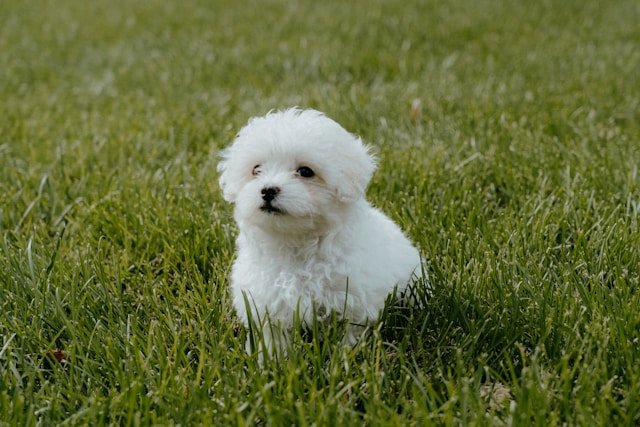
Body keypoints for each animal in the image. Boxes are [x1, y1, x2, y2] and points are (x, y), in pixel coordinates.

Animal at [219, 108, 424, 354]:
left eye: (305, 171)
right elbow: (273, 336)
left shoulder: (353, 300)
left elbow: (351, 333)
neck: (296, 244)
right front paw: (271, 357)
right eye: (256, 170)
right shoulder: (265, 303)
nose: (268, 190)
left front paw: (347, 355)